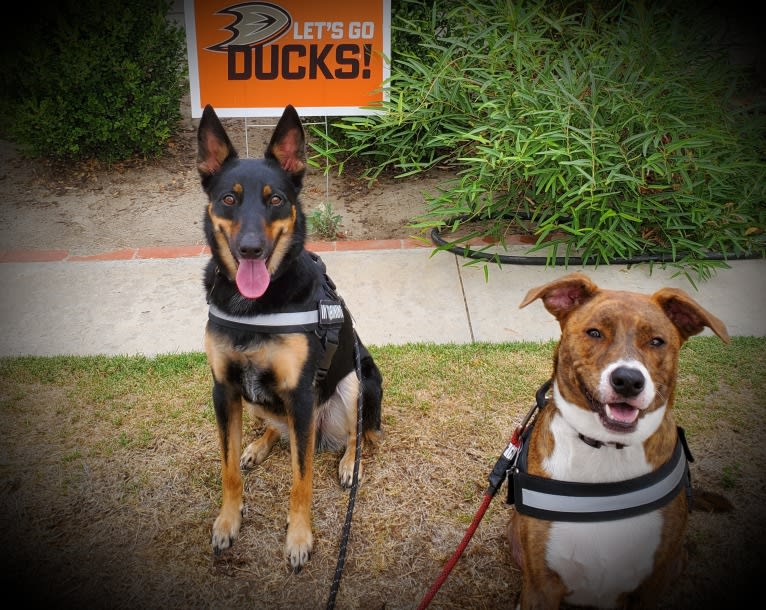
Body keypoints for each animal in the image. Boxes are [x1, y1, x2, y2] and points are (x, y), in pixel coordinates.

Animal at [195, 102, 380, 568]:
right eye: (228, 199)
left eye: (275, 200)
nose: (250, 249)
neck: (257, 304)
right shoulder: (224, 389)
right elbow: (227, 469)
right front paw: (228, 521)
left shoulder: (300, 396)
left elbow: (302, 481)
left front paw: (298, 538)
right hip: (256, 400)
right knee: (274, 428)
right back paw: (258, 445)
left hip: (357, 383)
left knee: (360, 436)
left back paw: (349, 463)